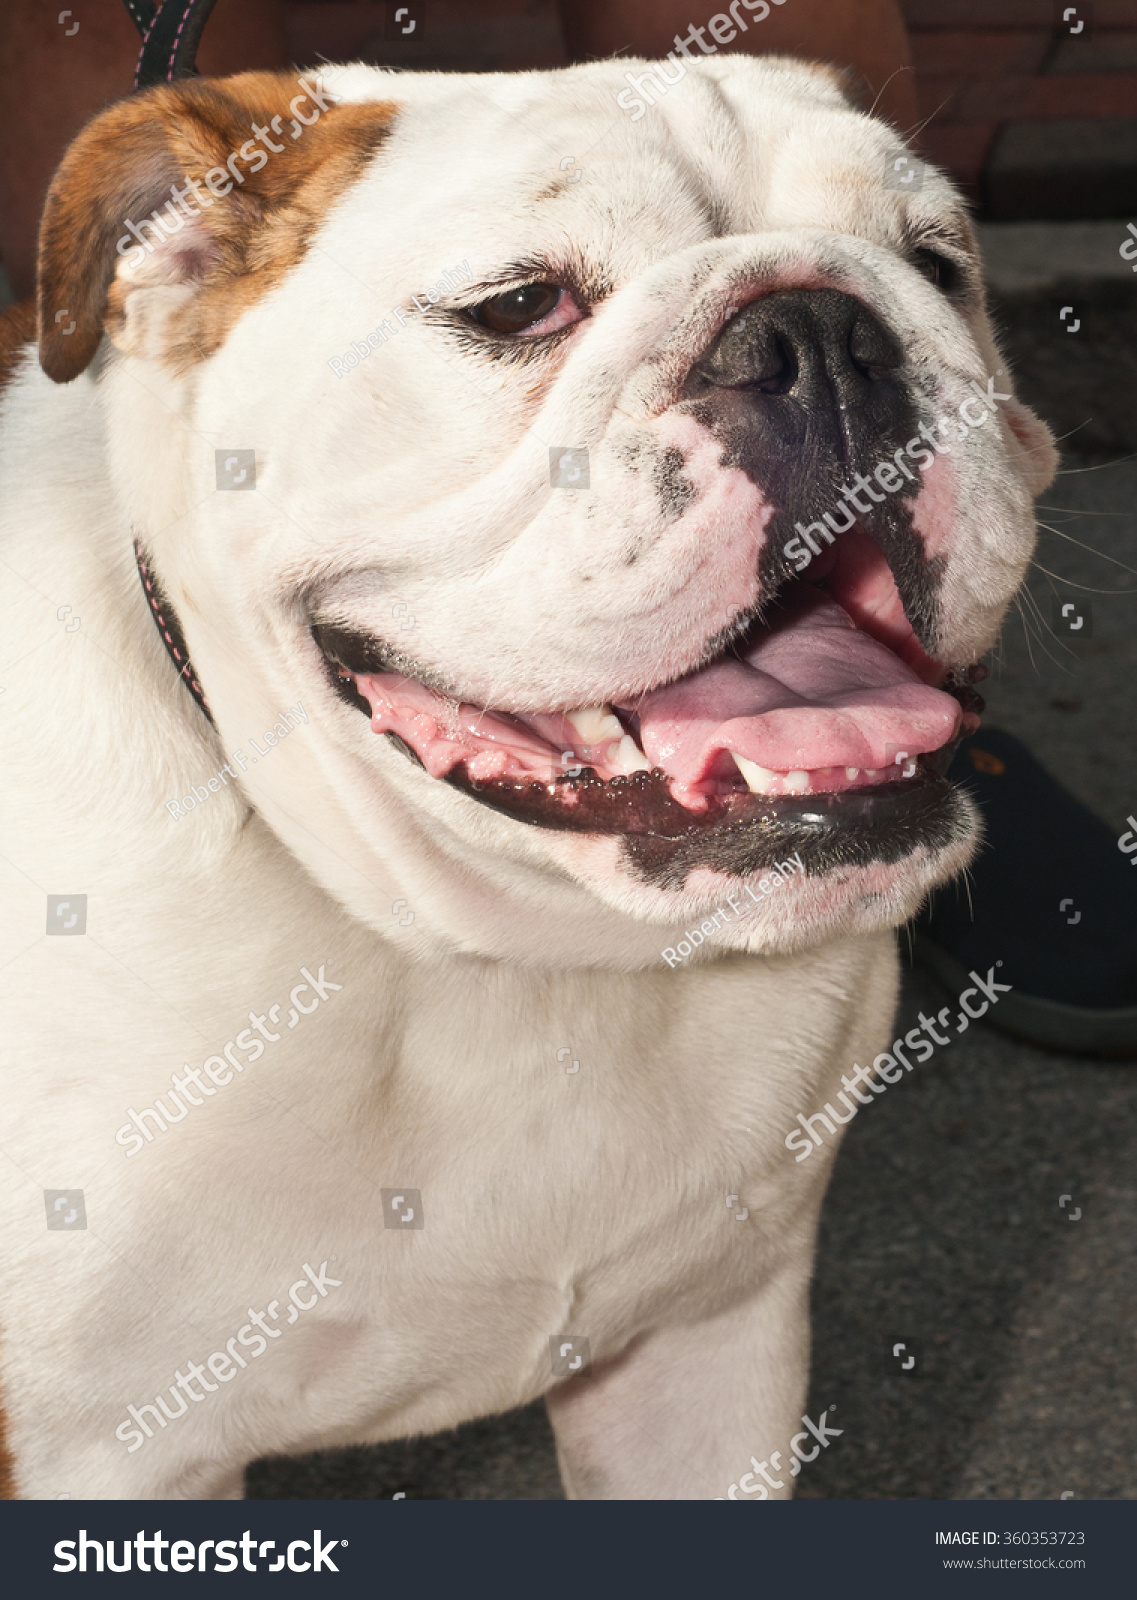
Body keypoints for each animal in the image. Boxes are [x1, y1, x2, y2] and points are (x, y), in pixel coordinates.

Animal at [0, 53, 1055, 1497]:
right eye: (516, 305)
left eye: (939, 264)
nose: (824, 337)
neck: (517, 959)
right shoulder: (100, 1459)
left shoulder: (709, 1357)